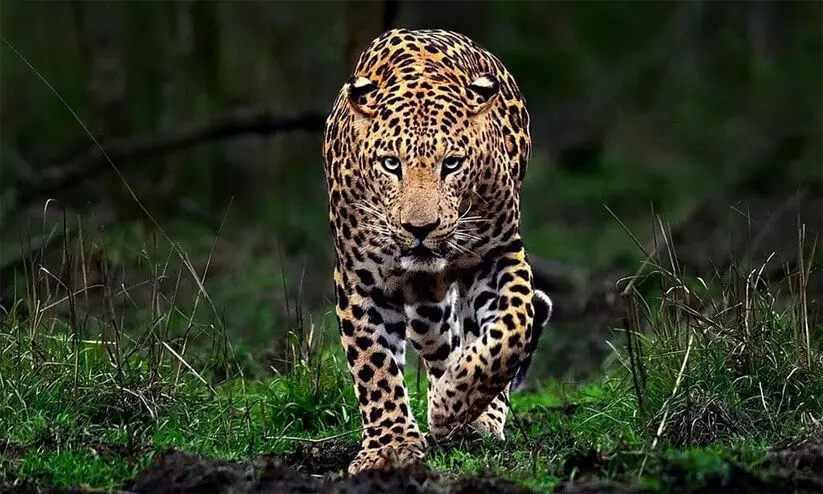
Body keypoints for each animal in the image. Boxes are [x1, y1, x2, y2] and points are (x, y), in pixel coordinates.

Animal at [322, 28, 553, 475]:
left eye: (452, 164)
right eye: (390, 164)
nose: (420, 229)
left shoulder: (498, 253)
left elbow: (513, 328)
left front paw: (453, 404)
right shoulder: (359, 277)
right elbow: (374, 365)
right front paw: (390, 447)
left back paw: (474, 416)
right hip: (425, 306)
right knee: (440, 342)